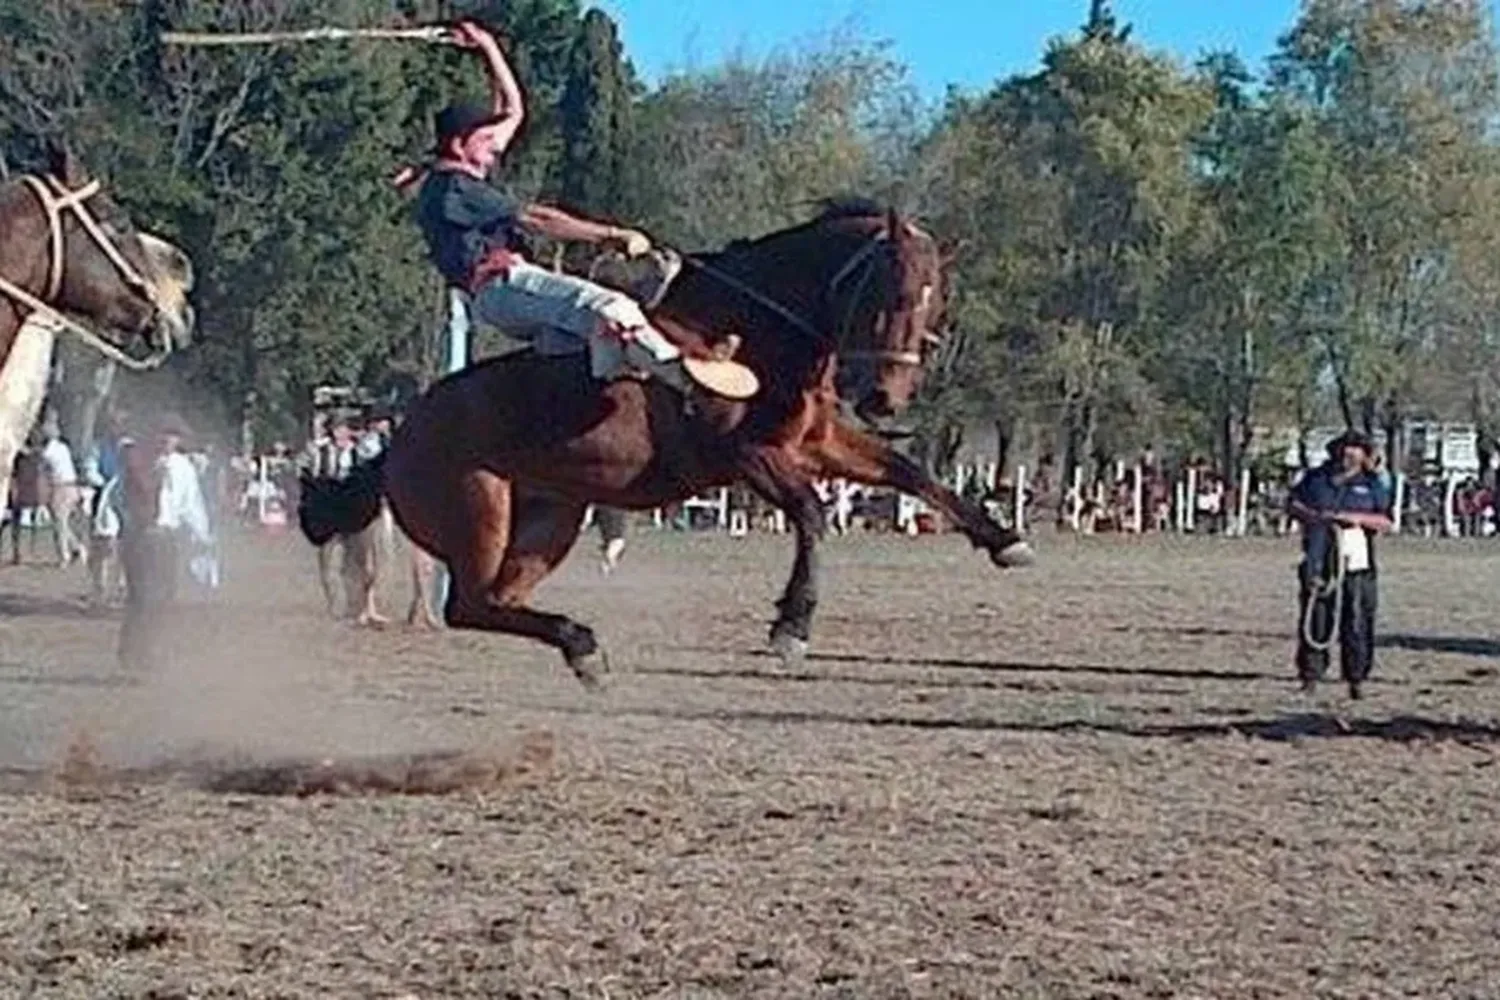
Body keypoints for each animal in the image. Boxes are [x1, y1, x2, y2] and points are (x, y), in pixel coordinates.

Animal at [304, 203, 1032, 689]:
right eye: (893, 293)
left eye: (936, 303)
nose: (885, 397)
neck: (750, 331)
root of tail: (399, 439)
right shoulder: (748, 456)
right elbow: (812, 514)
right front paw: (791, 627)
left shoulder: (817, 441)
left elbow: (915, 474)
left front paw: (1004, 539)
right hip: (480, 514)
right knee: (466, 605)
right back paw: (581, 642)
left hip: (549, 520)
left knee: (491, 604)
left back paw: (580, 649)